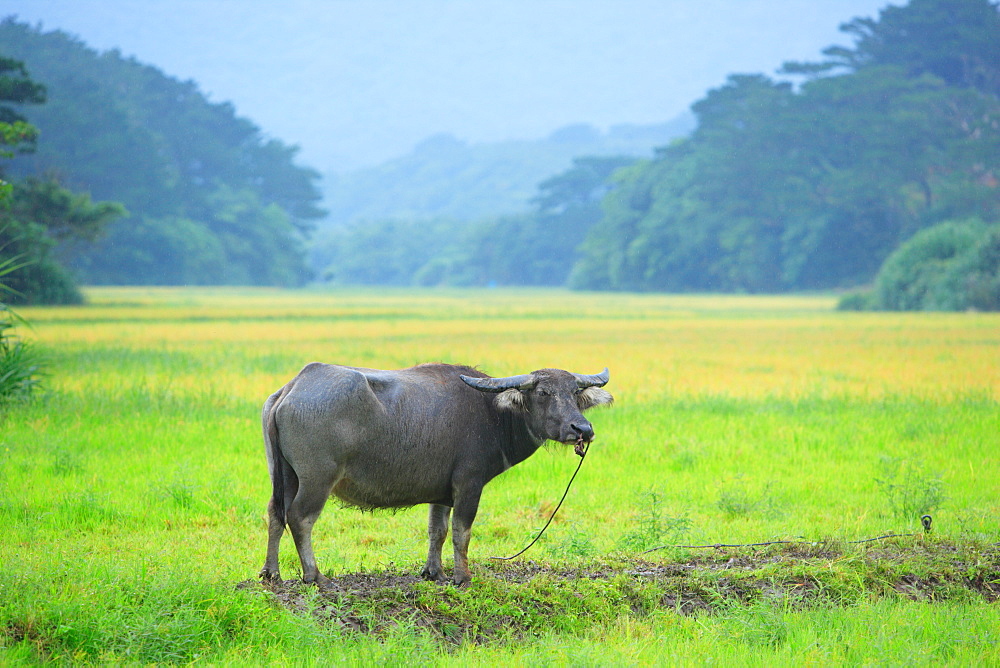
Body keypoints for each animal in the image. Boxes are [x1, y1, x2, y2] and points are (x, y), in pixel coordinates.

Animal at [258, 362, 612, 588]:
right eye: (542, 393)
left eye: (575, 392)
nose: (582, 428)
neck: (494, 413)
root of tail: (292, 388)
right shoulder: (468, 485)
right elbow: (460, 532)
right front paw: (462, 577)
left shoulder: (441, 492)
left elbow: (437, 531)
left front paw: (434, 573)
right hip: (317, 478)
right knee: (300, 517)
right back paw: (314, 576)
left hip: (283, 475)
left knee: (276, 514)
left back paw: (271, 573)